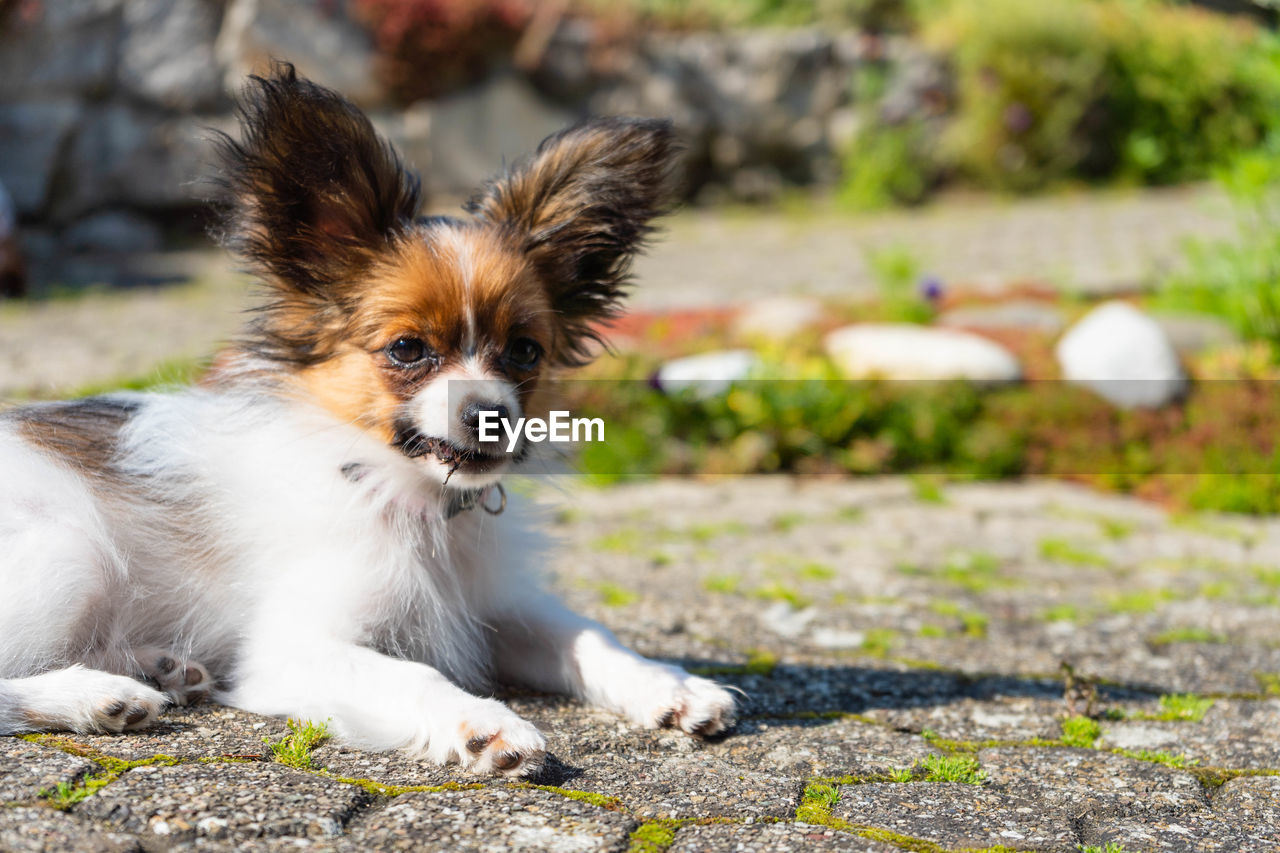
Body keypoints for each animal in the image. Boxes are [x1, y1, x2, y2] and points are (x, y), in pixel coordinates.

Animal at [0, 63, 737, 773]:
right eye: (408, 349)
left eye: (525, 350)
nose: (490, 415)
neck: (412, 497)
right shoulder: (295, 646)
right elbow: (414, 674)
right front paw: (484, 722)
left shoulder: (495, 605)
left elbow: (588, 634)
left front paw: (671, 685)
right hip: (70, 552)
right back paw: (94, 695)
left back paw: (162, 666)